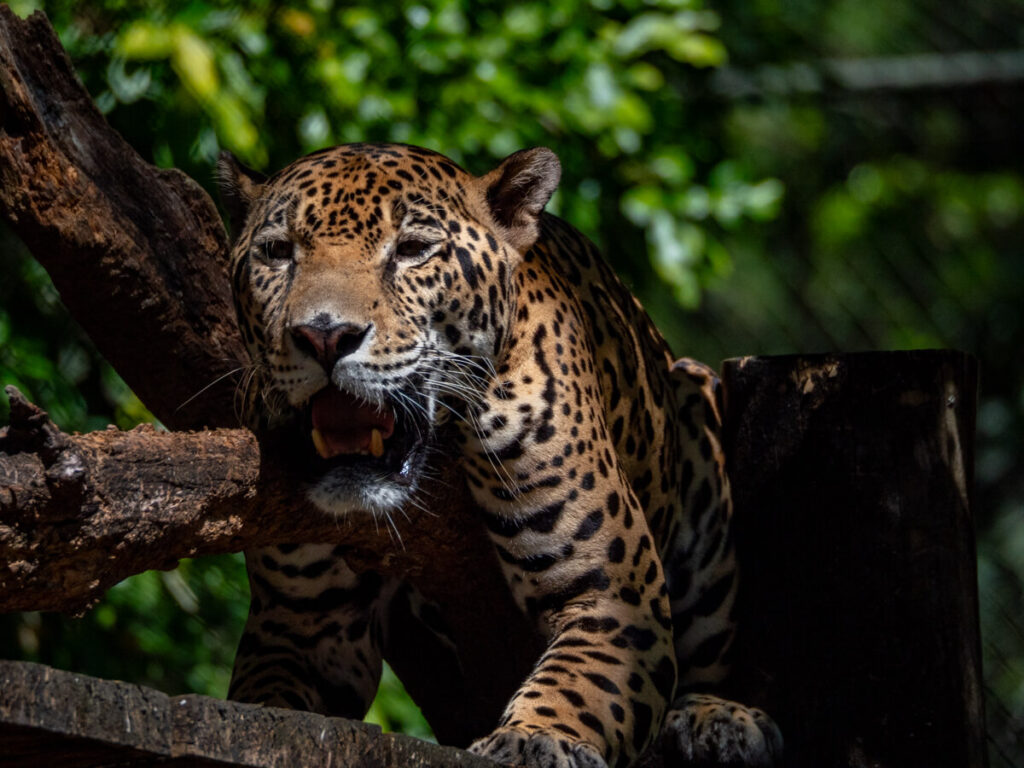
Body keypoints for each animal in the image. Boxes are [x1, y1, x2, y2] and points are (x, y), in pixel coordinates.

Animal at [216, 142, 781, 768]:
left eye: (413, 250)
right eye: (277, 252)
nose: (324, 336)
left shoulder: (613, 598)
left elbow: (577, 685)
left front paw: (534, 738)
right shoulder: (301, 622)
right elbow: (266, 698)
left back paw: (717, 719)